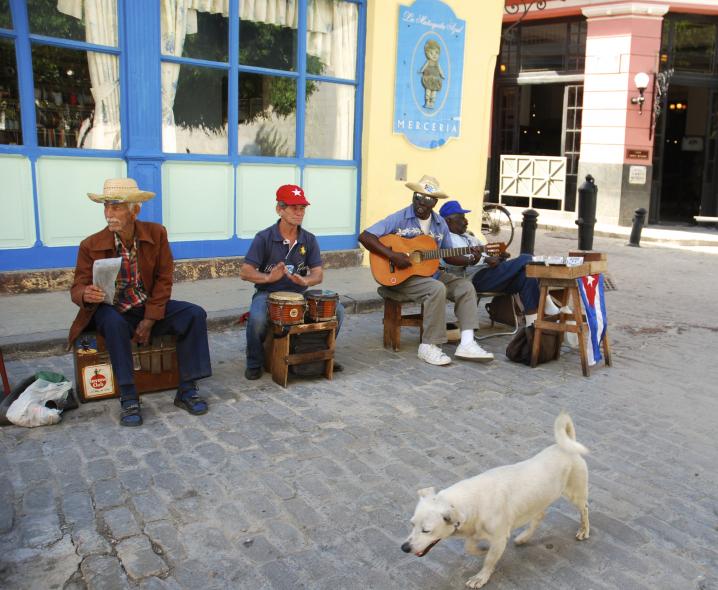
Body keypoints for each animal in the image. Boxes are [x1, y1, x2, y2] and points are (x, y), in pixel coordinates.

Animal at [400, 414, 592, 588]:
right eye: (411, 524)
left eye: (426, 530)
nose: (404, 548)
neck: (470, 504)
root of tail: (566, 445)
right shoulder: (474, 532)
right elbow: (470, 547)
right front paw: (481, 550)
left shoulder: (499, 539)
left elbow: (489, 560)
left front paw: (481, 577)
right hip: (537, 501)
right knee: (539, 517)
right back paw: (523, 537)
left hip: (575, 494)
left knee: (584, 509)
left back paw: (584, 530)